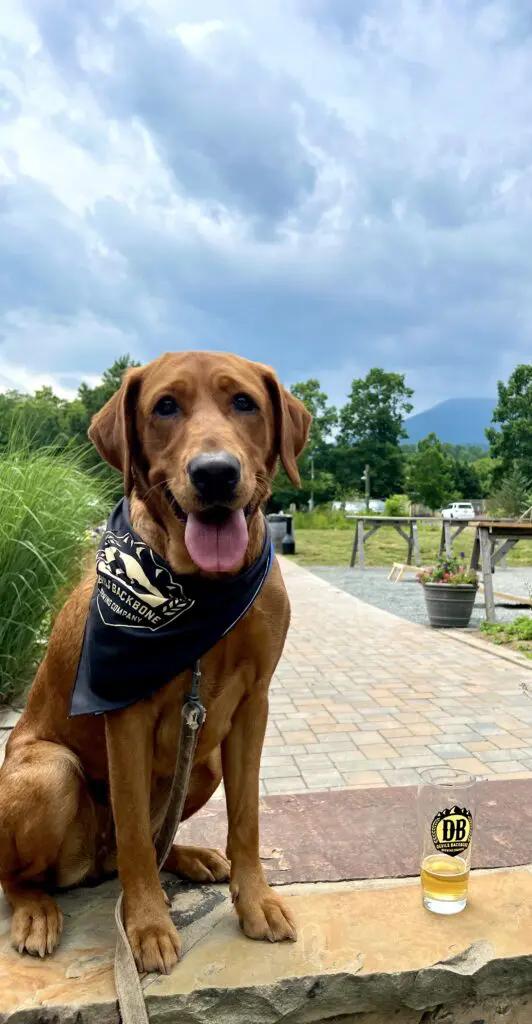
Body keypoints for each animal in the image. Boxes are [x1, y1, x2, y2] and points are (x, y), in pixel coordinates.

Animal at [0, 351, 310, 974]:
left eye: (244, 402)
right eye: (164, 406)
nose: (214, 473)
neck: (202, 589)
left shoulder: (254, 706)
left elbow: (247, 820)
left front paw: (256, 901)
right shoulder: (128, 716)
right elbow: (138, 841)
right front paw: (146, 926)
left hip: (204, 763)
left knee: (142, 843)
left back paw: (190, 856)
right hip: (50, 772)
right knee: (25, 875)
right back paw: (37, 911)